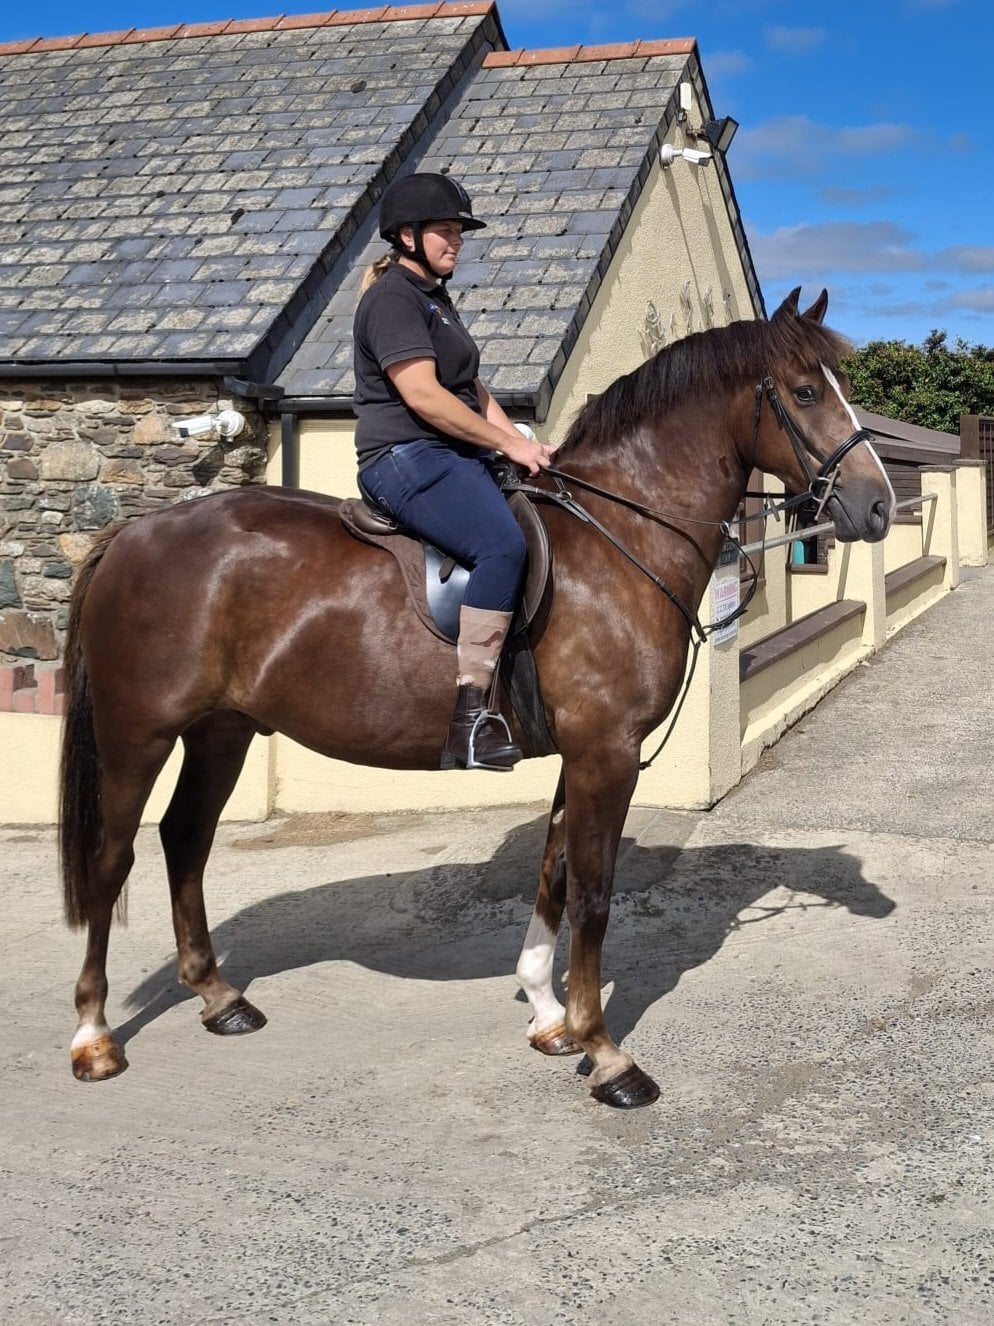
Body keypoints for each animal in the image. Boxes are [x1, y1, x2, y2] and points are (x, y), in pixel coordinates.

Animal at [59, 288, 895, 1107]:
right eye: (806, 391)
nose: (880, 506)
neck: (616, 534)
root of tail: (133, 535)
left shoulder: (583, 753)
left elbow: (554, 872)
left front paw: (551, 1016)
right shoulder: (607, 752)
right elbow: (593, 891)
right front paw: (606, 1052)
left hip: (221, 730)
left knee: (185, 839)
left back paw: (217, 997)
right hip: (138, 734)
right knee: (111, 857)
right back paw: (93, 1036)